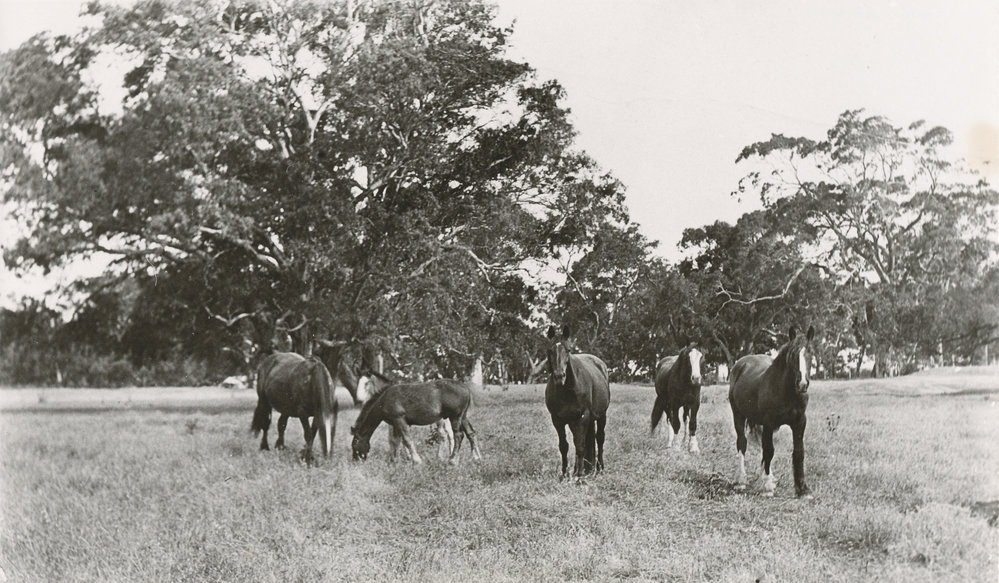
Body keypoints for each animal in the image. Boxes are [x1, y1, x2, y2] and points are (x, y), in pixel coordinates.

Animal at [350, 375, 482, 464]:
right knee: (470, 433)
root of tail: (465, 387)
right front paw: (394, 460)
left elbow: (407, 440)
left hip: (455, 417)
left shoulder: (399, 420)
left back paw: (453, 460)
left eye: (354, 443)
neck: (384, 399)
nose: (356, 461)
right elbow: (396, 441)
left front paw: (416, 460)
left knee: (458, 435)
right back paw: (475, 458)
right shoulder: (395, 424)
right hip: (463, 417)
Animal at [544, 325, 610, 480]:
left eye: (568, 350)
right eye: (550, 350)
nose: (559, 376)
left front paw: (579, 476)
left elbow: (580, 446)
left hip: (601, 416)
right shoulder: (557, 420)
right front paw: (564, 474)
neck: (567, 391)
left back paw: (599, 468)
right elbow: (564, 446)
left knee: (599, 438)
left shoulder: (583, 417)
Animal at [729, 325, 815, 497]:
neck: (788, 392)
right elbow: (769, 451)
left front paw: (803, 489)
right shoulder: (769, 423)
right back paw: (741, 481)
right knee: (742, 443)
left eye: (810, 352)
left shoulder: (800, 423)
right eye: (792, 355)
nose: (802, 384)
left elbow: (799, 452)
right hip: (738, 416)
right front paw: (768, 487)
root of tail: (740, 364)